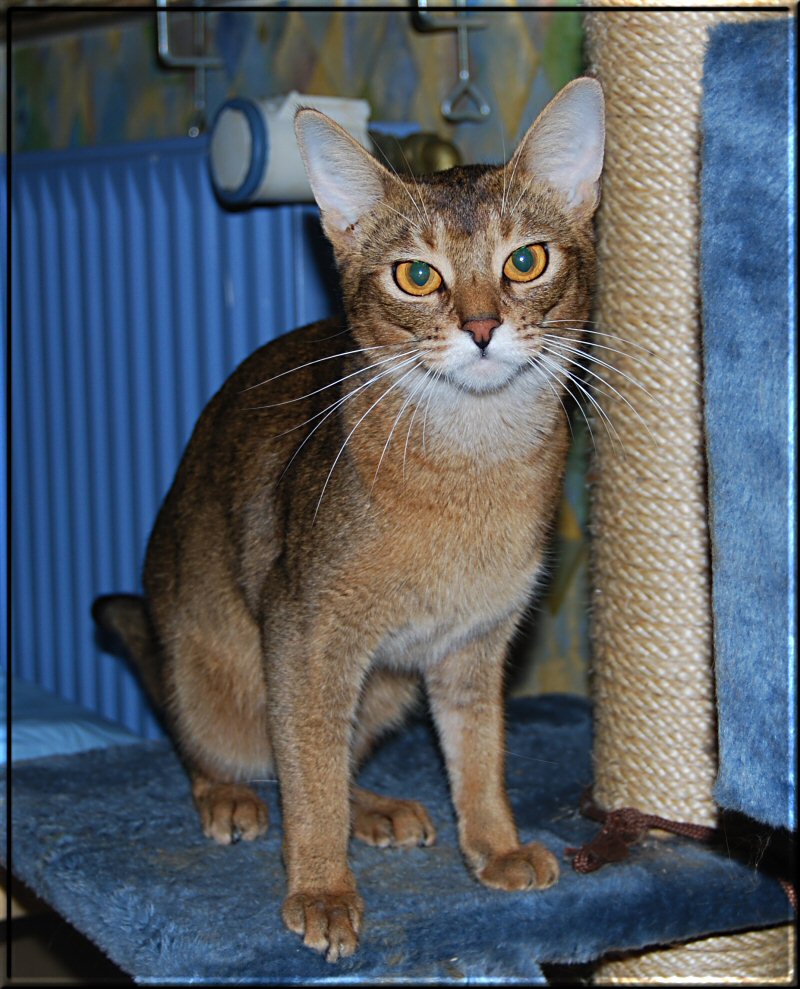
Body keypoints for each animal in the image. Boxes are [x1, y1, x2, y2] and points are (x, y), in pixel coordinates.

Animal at [94, 79, 604, 964]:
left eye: (526, 260)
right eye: (415, 276)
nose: (480, 329)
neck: (473, 468)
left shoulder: (477, 643)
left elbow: (479, 752)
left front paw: (496, 845)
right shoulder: (305, 632)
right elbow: (308, 773)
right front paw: (323, 891)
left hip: (386, 687)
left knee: (330, 752)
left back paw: (376, 807)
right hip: (212, 673)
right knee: (226, 741)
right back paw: (229, 795)